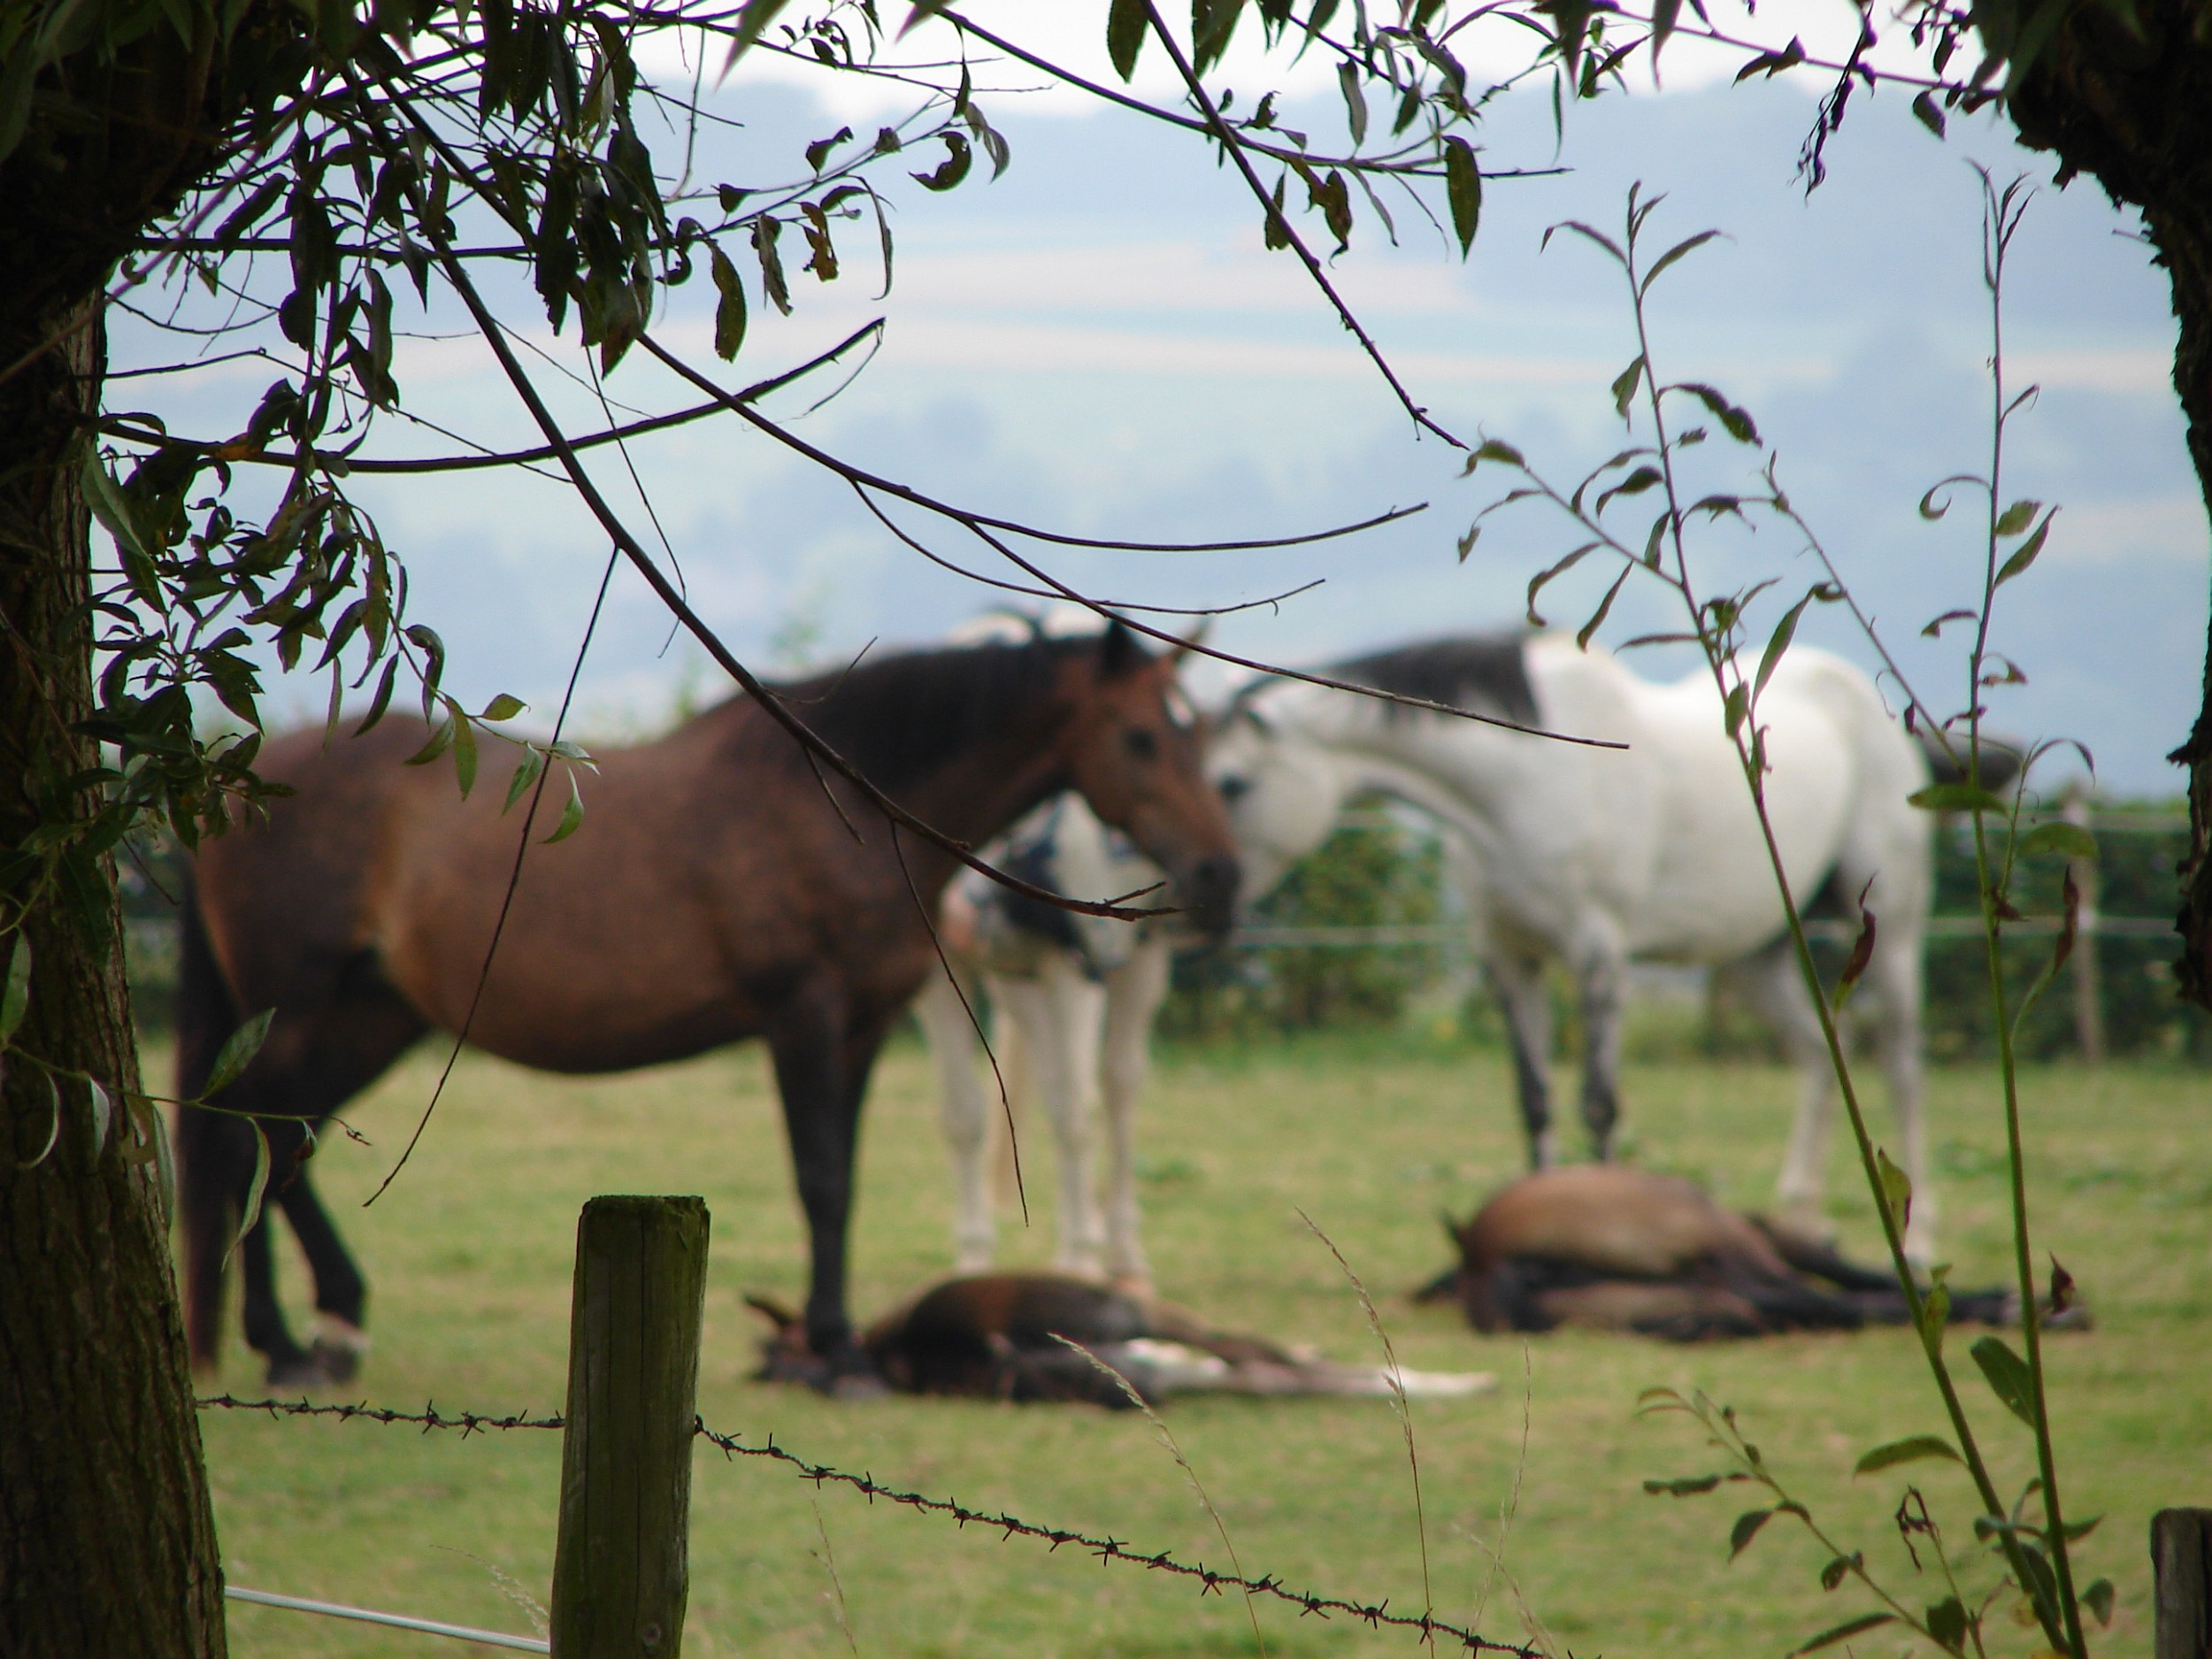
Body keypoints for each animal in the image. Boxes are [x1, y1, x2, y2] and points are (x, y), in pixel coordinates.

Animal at [175, 622, 1241, 1387]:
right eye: (1143, 736)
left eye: (1198, 734)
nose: (1216, 875)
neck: (834, 802)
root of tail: (234, 785)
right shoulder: (801, 1016)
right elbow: (821, 1179)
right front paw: (838, 1355)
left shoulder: (860, 1031)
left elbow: (843, 1181)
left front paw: (830, 1345)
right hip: (302, 1007)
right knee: (248, 1133)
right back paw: (287, 1345)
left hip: (371, 1017)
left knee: (283, 1137)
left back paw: (326, 1329)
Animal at [1205, 631, 1972, 1262]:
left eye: (1232, 783)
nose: (1205, 898)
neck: (1528, 773)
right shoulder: (1509, 956)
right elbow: (1534, 1097)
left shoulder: (1597, 949)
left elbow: (1599, 1100)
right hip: (1752, 953)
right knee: (1818, 1054)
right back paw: (1804, 1219)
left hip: (1891, 933)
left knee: (1902, 1066)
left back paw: (1920, 1234)